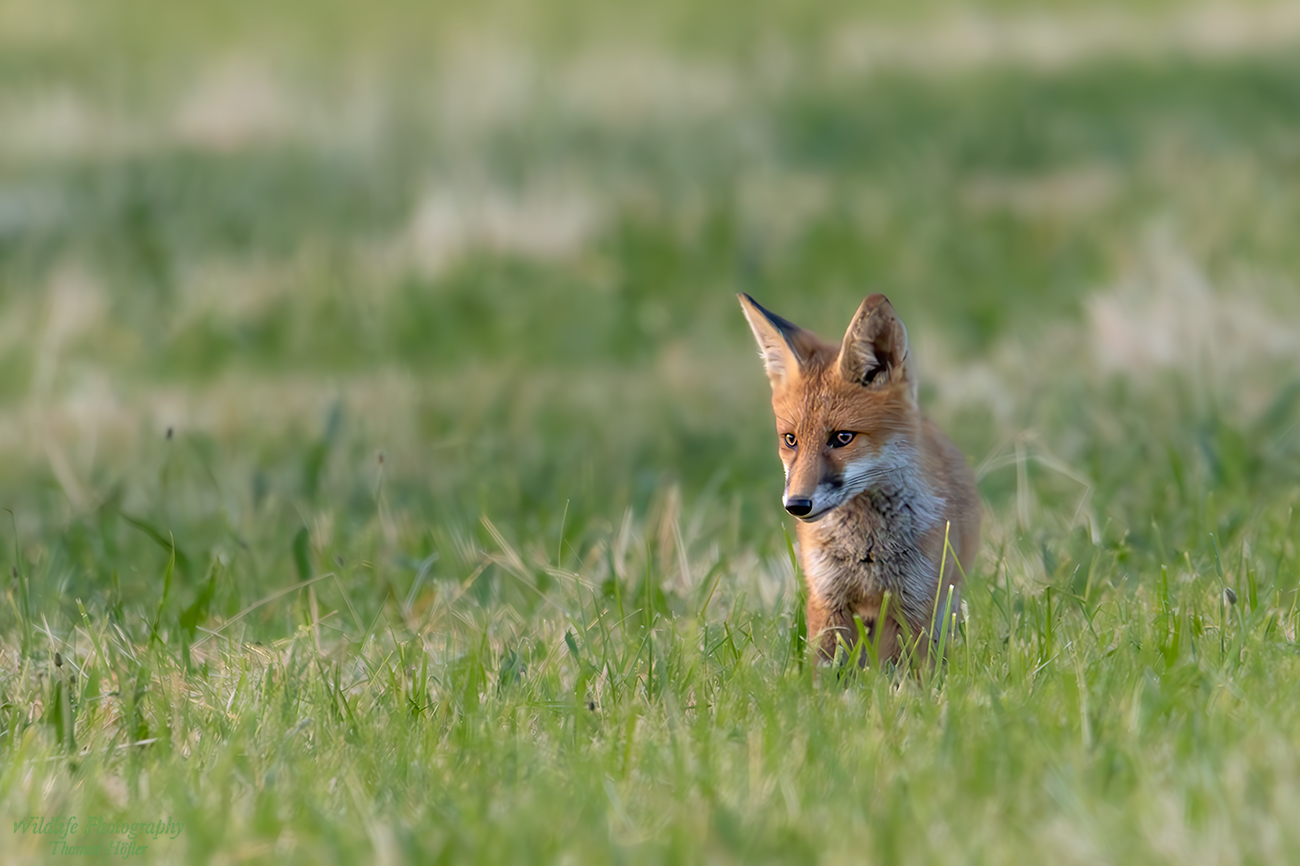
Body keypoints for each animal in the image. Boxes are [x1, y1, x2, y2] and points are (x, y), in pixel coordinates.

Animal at [743, 293, 977, 663]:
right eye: (790, 439)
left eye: (842, 438)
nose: (797, 505)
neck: (865, 549)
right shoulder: (828, 600)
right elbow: (823, 669)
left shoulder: (913, 605)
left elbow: (905, 672)